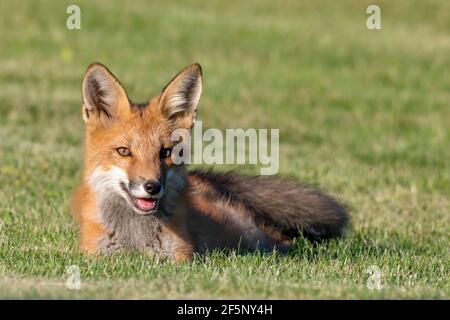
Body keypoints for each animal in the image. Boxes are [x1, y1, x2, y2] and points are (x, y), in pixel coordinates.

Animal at [72, 61, 350, 262]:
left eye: (165, 152)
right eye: (124, 151)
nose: (152, 186)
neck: (136, 238)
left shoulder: (181, 257)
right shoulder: (96, 255)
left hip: (254, 238)